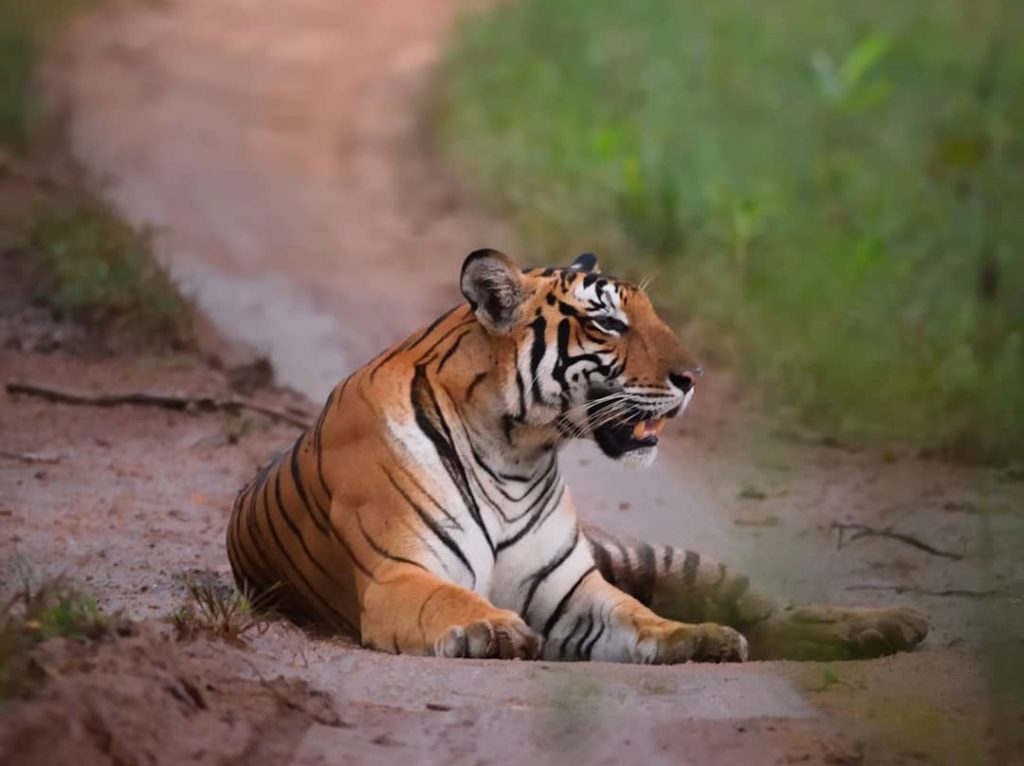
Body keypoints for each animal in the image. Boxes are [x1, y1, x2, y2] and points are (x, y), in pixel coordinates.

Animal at [226, 248, 929, 659]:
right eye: (610, 323)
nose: (694, 377)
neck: (514, 451)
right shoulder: (398, 575)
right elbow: (453, 600)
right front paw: (495, 630)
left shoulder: (572, 590)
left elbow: (640, 615)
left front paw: (697, 639)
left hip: (665, 557)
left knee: (767, 608)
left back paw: (886, 624)